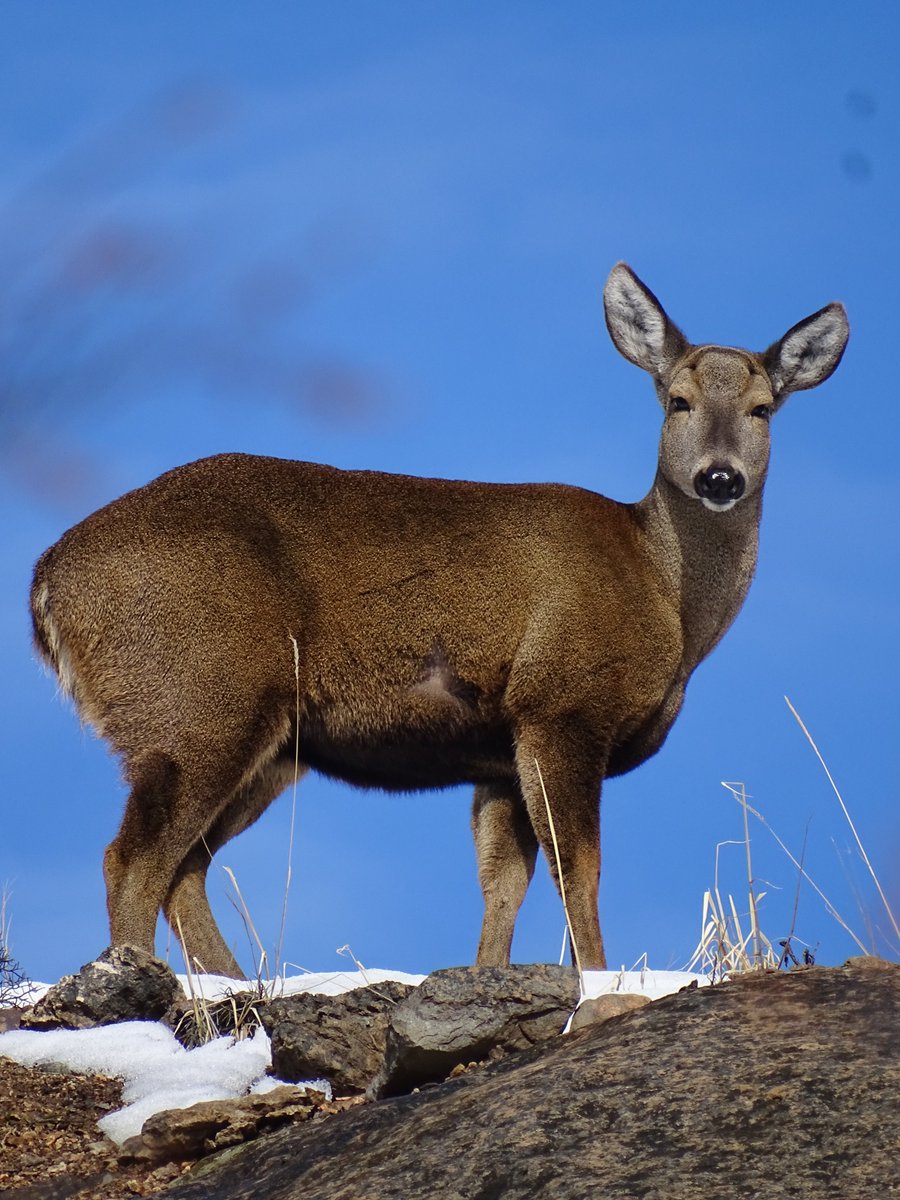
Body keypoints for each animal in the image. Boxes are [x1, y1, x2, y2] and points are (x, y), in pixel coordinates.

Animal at [30, 264, 849, 979]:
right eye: (677, 400)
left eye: (762, 409)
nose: (720, 477)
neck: (663, 592)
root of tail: (48, 583)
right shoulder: (561, 704)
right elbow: (578, 870)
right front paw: (598, 984)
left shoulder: (498, 753)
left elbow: (503, 885)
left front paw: (490, 974)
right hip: (196, 698)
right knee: (132, 859)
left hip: (266, 741)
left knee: (186, 867)